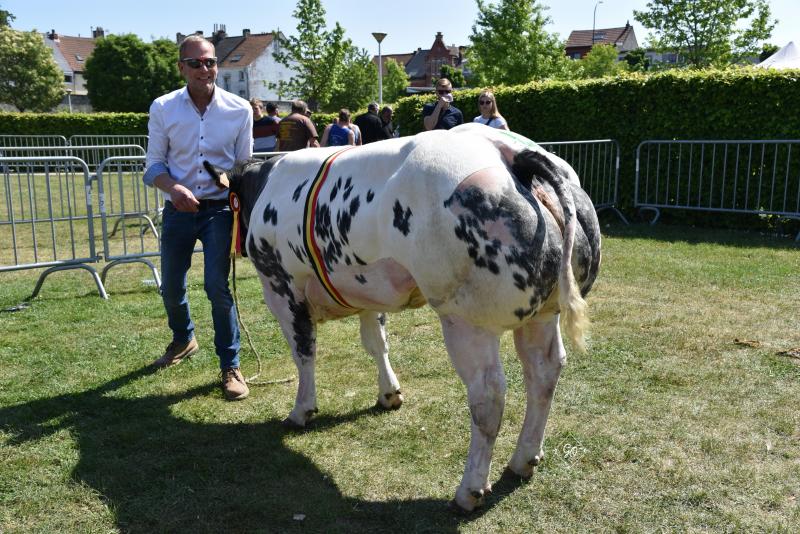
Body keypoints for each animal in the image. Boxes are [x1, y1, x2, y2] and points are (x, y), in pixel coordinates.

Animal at [206, 123, 600, 512]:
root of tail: (508, 151)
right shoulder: (367, 289)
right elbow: (376, 343)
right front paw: (389, 393)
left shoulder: (281, 286)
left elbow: (304, 352)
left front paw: (301, 410)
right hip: (544, 313)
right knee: (544, 372)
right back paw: (524, 460)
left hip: (466, 319)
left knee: (488, 395)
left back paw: (470, 490)